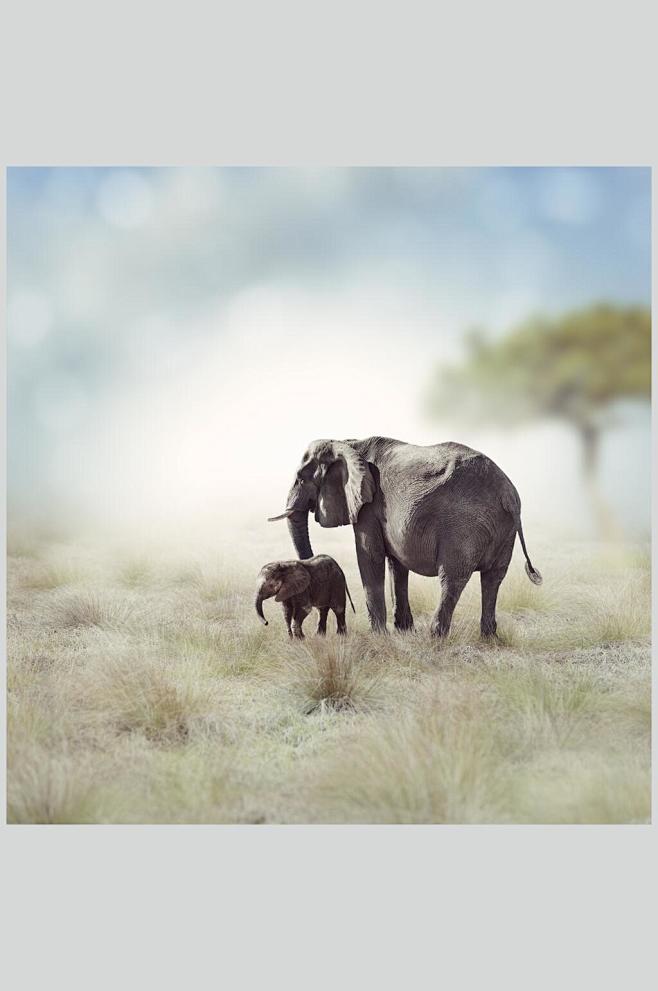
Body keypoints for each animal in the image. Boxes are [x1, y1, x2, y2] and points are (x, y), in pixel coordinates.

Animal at [268, 436, 542, 638]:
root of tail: (508, 494)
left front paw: (379, 635)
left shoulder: (368, 505)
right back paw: (488, 638)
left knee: (453, 578)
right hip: (504, 529)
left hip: (465, 526)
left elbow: (370, 557)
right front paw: (403, 631)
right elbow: (396, 564)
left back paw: (435, 637)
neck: (348, 443)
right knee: (493, 578)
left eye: (301, 478)